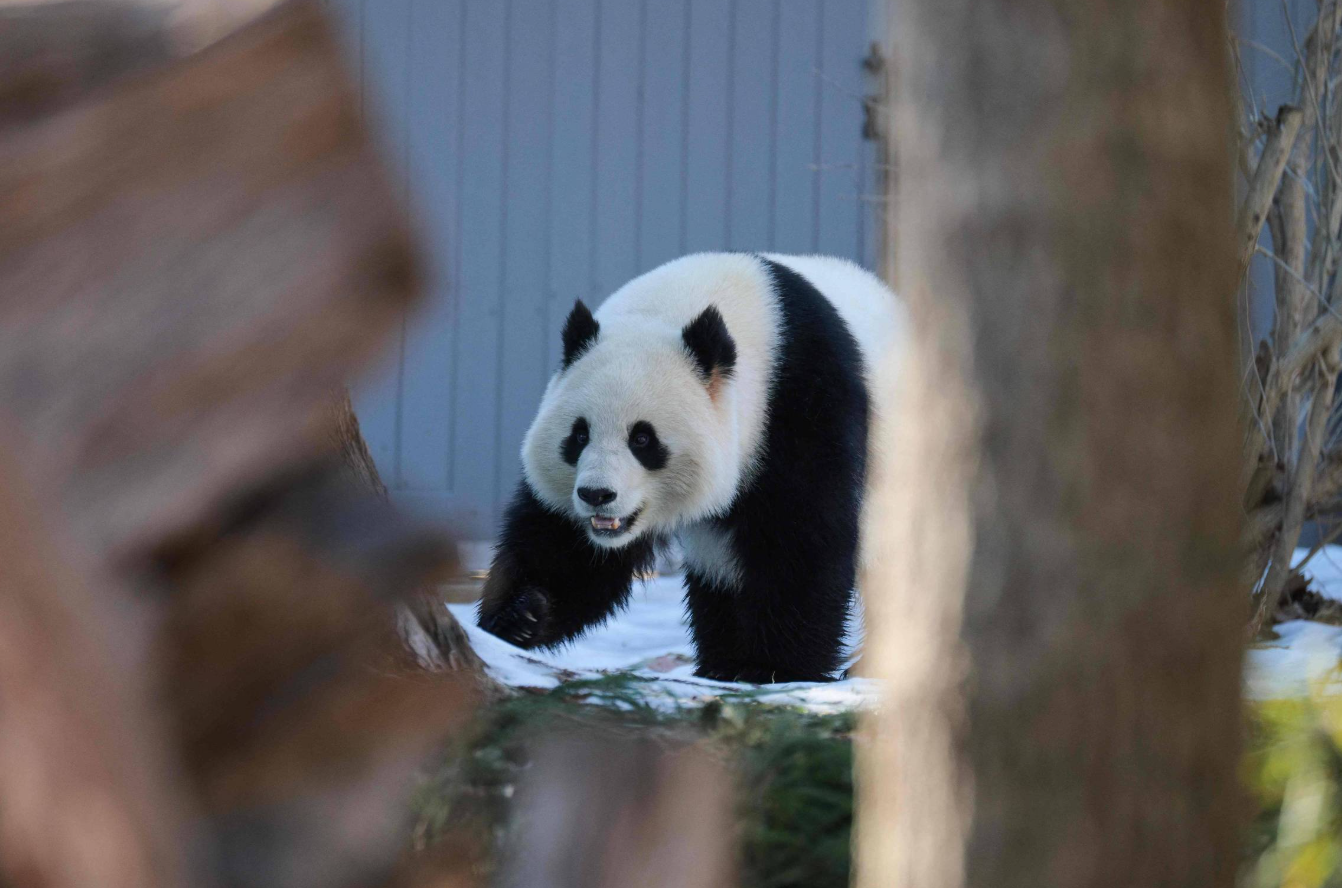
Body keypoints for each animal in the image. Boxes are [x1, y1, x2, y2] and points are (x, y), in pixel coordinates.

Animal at [477, 252, 905, 683]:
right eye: (579, 435)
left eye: (642, 439)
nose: (596, 495)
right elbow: (565, 546)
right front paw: (522, 615)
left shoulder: (802, 403)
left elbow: (803, 541)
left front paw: (774, 668)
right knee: (720, 578)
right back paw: (719, 663)